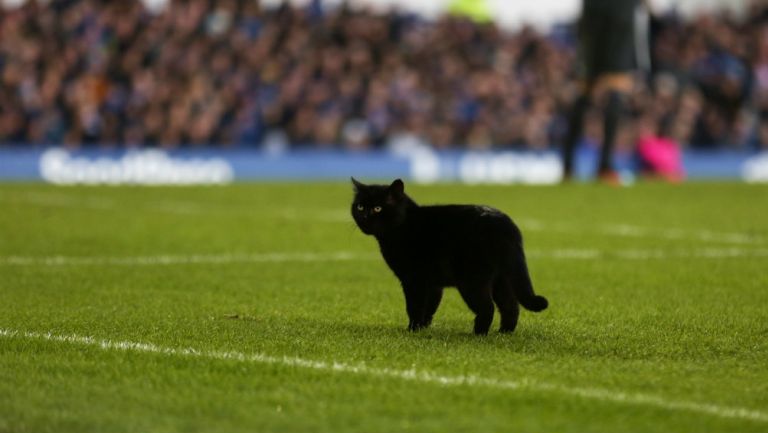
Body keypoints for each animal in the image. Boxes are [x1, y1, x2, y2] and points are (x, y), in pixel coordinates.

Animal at [352, 177, 548, 332]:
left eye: (378, 208)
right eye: (360, 206)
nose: (364, 217)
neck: (403, 225)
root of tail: (506, 224)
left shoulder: (414, 280)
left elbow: (414, 307)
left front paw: (412, 330)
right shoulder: (433, 284)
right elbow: (429, 307)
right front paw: (423, 329)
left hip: (472, 281)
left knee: (488, 308)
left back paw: (478, 334)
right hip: (503, 278)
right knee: (511, 306)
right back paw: (504, 333)